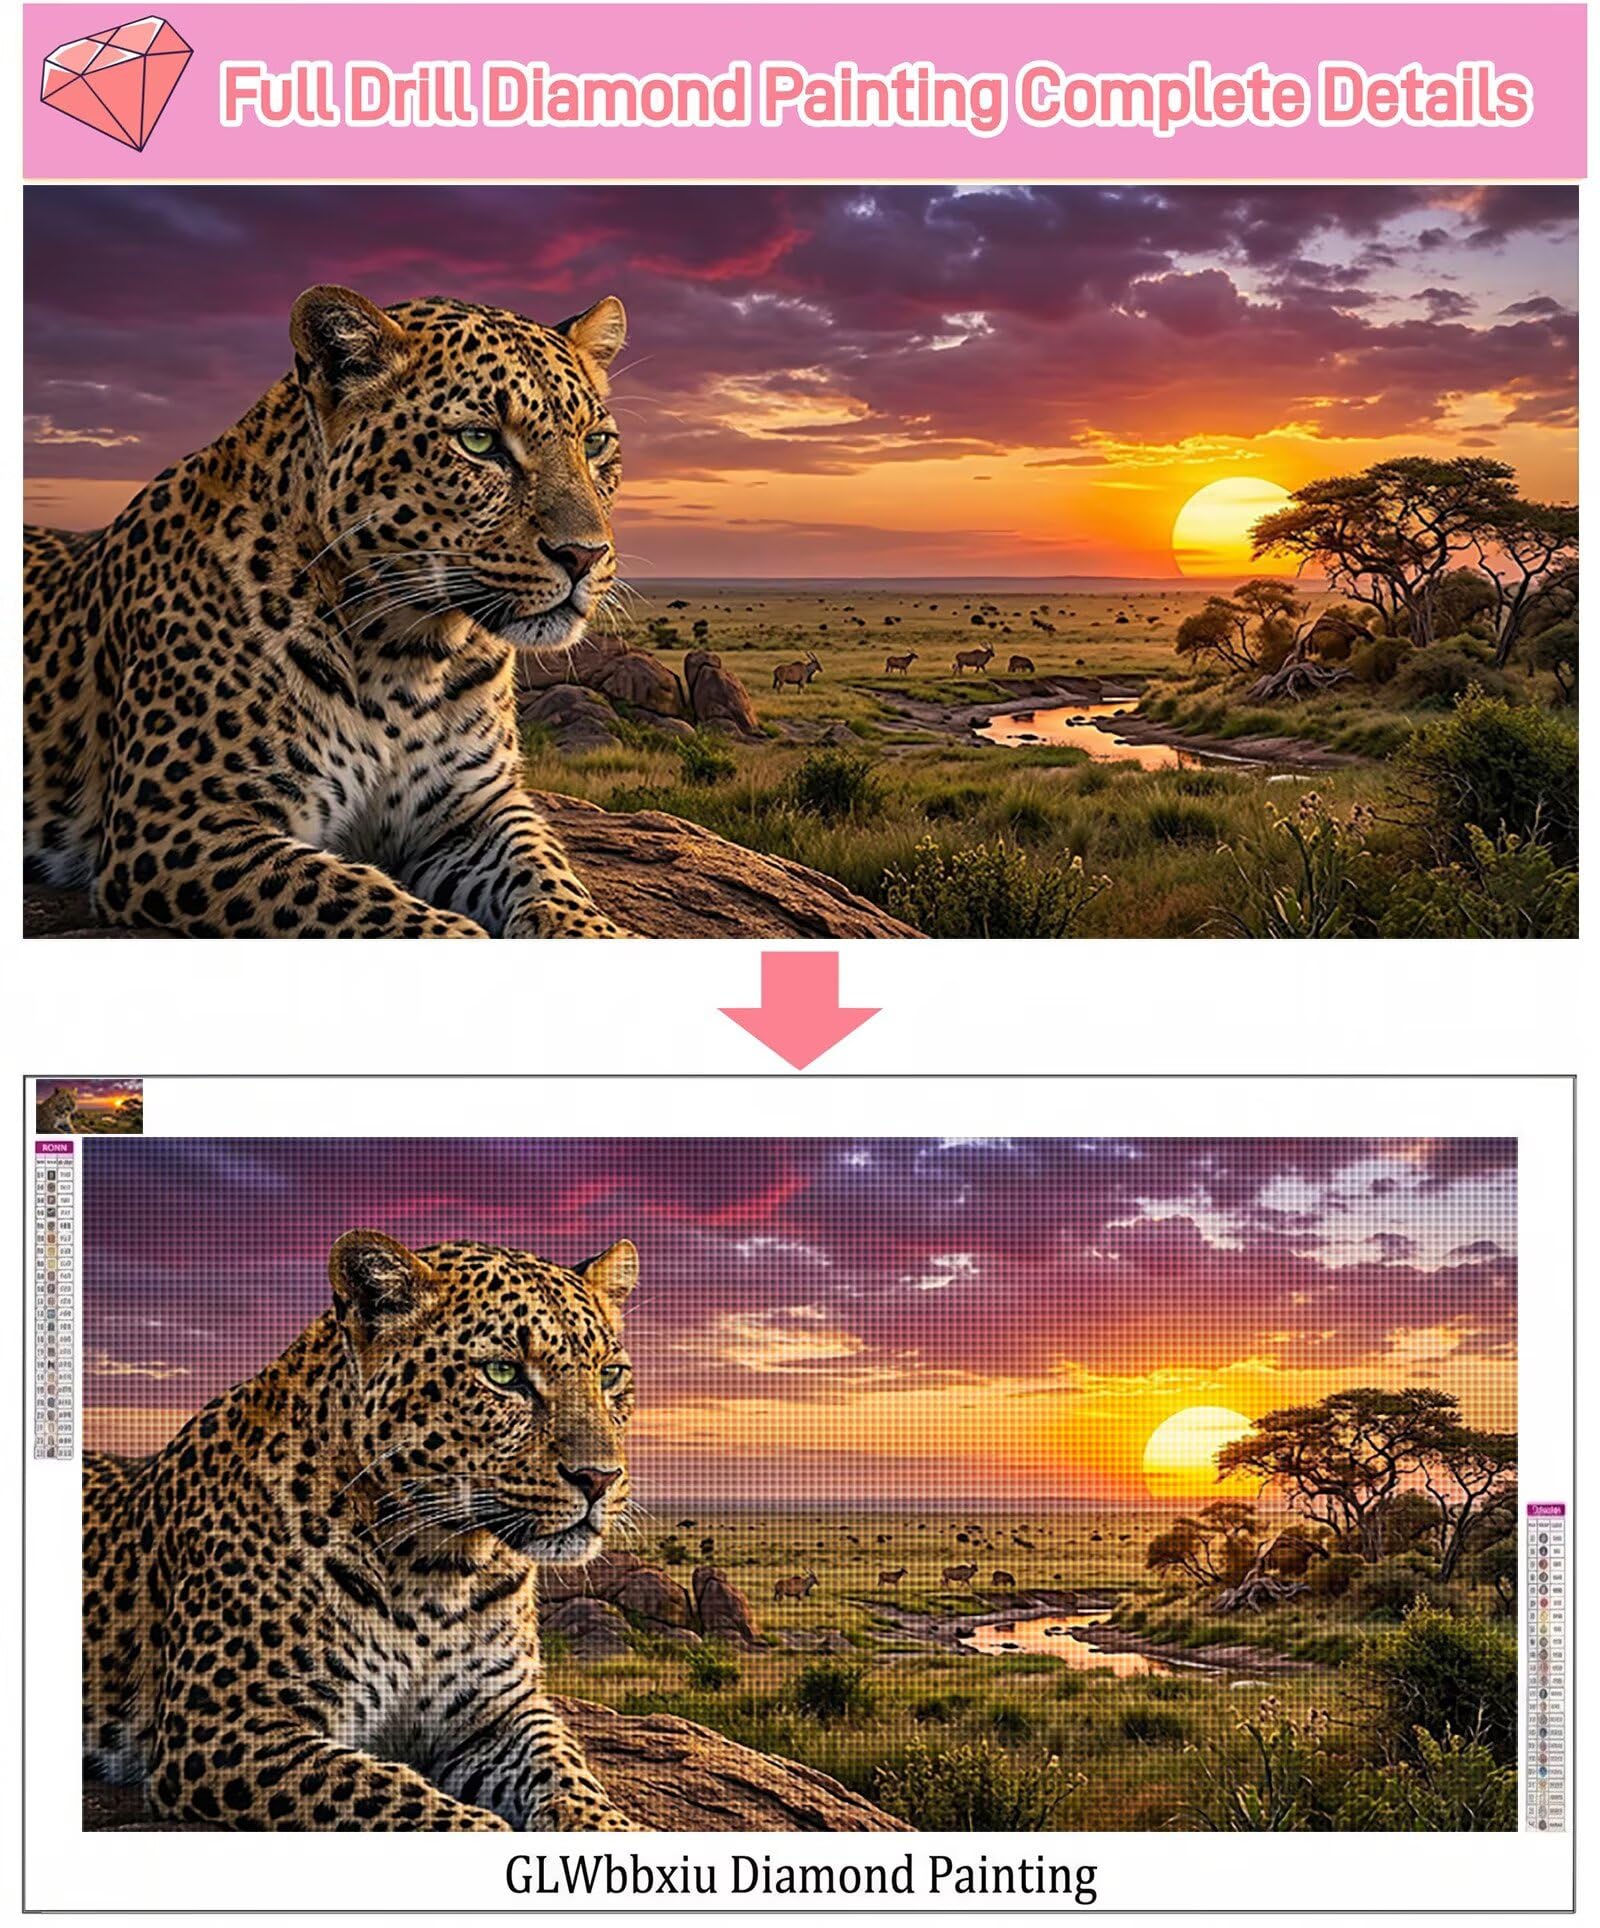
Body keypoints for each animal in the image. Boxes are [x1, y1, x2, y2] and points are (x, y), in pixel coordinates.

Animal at [26, 286, 638, 936]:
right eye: (478, 441)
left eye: (596, 444)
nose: (585, 554)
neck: (410, 651)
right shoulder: (176, 824)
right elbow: (363, 899)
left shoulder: (474, 809)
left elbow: (545, 868)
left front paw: (593, 930)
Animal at [82, 1231, 641, 1830]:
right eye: (502, 1373)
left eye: (610, 1376)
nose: (600, 1478)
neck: (438, 1567)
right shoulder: (223, 1726)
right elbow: (389, 1791)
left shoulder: (499, 1713)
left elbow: (564, 1766)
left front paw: (608, 1825)